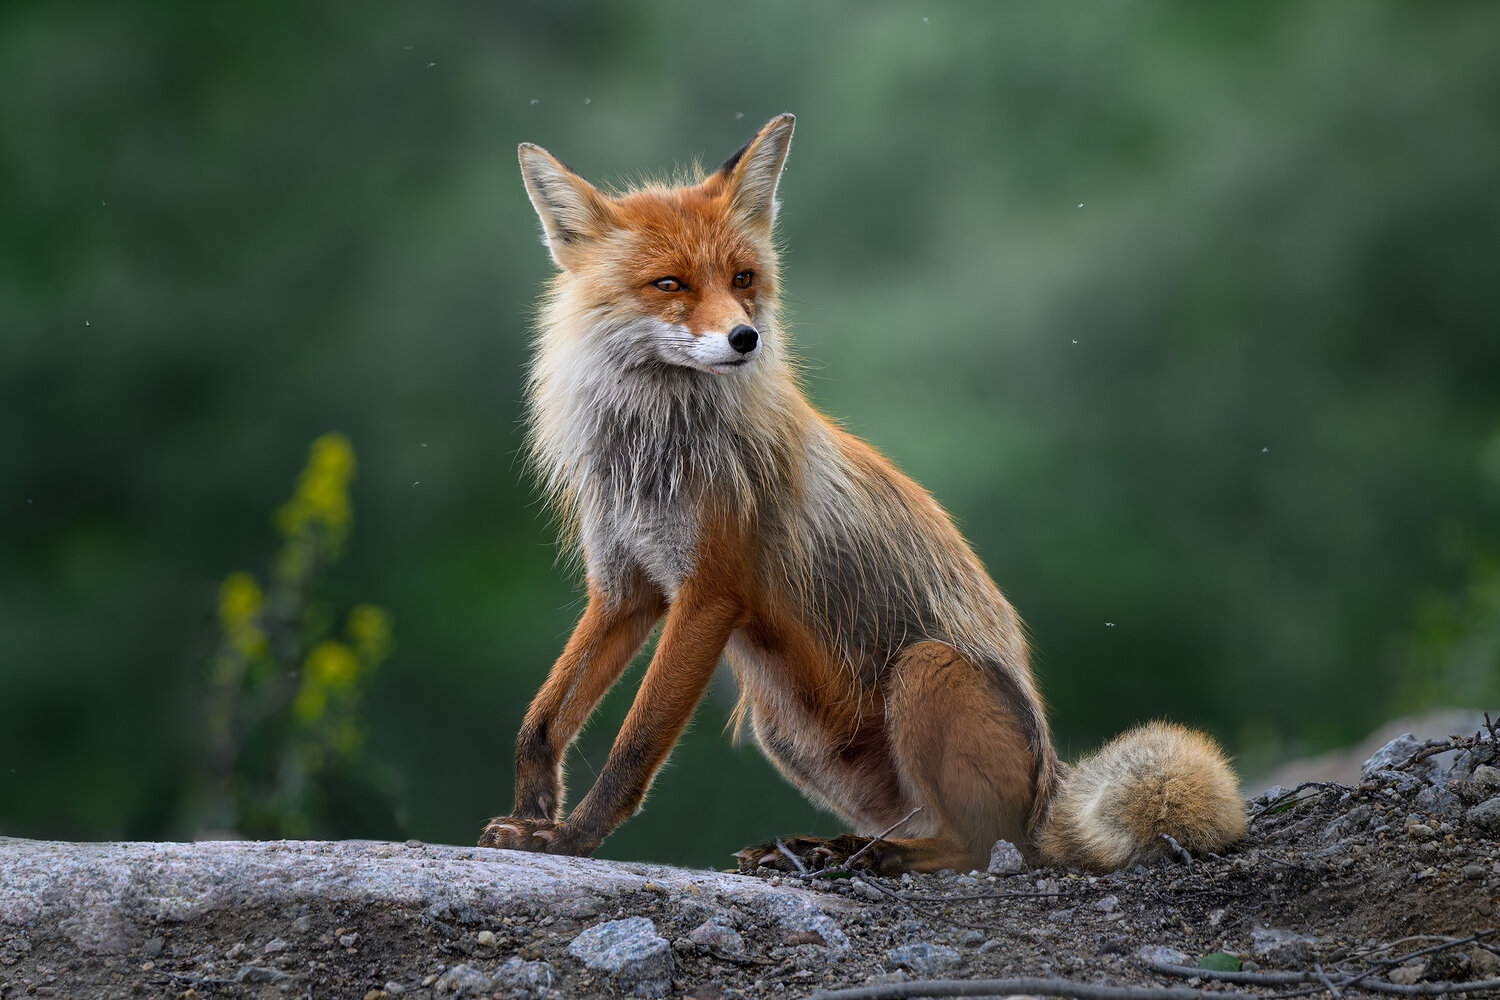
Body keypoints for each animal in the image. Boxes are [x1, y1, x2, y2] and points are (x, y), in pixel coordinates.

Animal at [477, 113, 1247, 874]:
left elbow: (634, 748)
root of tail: (1049, 784)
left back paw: (859, 856)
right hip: (784, 728)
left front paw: (571, 839)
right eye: (670, 284)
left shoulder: (709, 592)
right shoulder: (624, 588)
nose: (746, 338)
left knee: (984, 846)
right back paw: (823, 847)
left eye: (743, 277)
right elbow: (540, 722)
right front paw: (532, 809)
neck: (651, 455)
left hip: (925, 671)